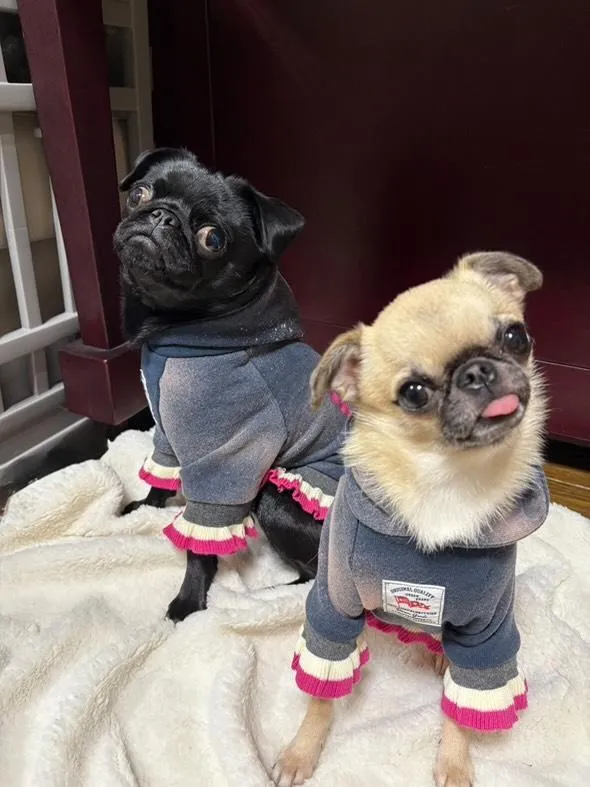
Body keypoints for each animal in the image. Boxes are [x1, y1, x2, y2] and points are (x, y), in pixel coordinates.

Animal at [113, 148, 348, 622]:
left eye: (213, 239)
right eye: (140, 194)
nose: (162, 215)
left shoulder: (224, 463)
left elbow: (201, 543)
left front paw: (187, 603)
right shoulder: (167, 431)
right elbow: (160, 475)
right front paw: (144, 508)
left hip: (277, 499)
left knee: (317, 577)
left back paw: (267, 597)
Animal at [273, 252, 549, 787]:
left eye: (515, 337)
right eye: (415, 393)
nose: (478, 372)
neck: (448, 480)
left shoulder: (485, 637)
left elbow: (465, 707)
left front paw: (454, 764)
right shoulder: (333, 607)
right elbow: (321, 693)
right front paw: (301, 751)